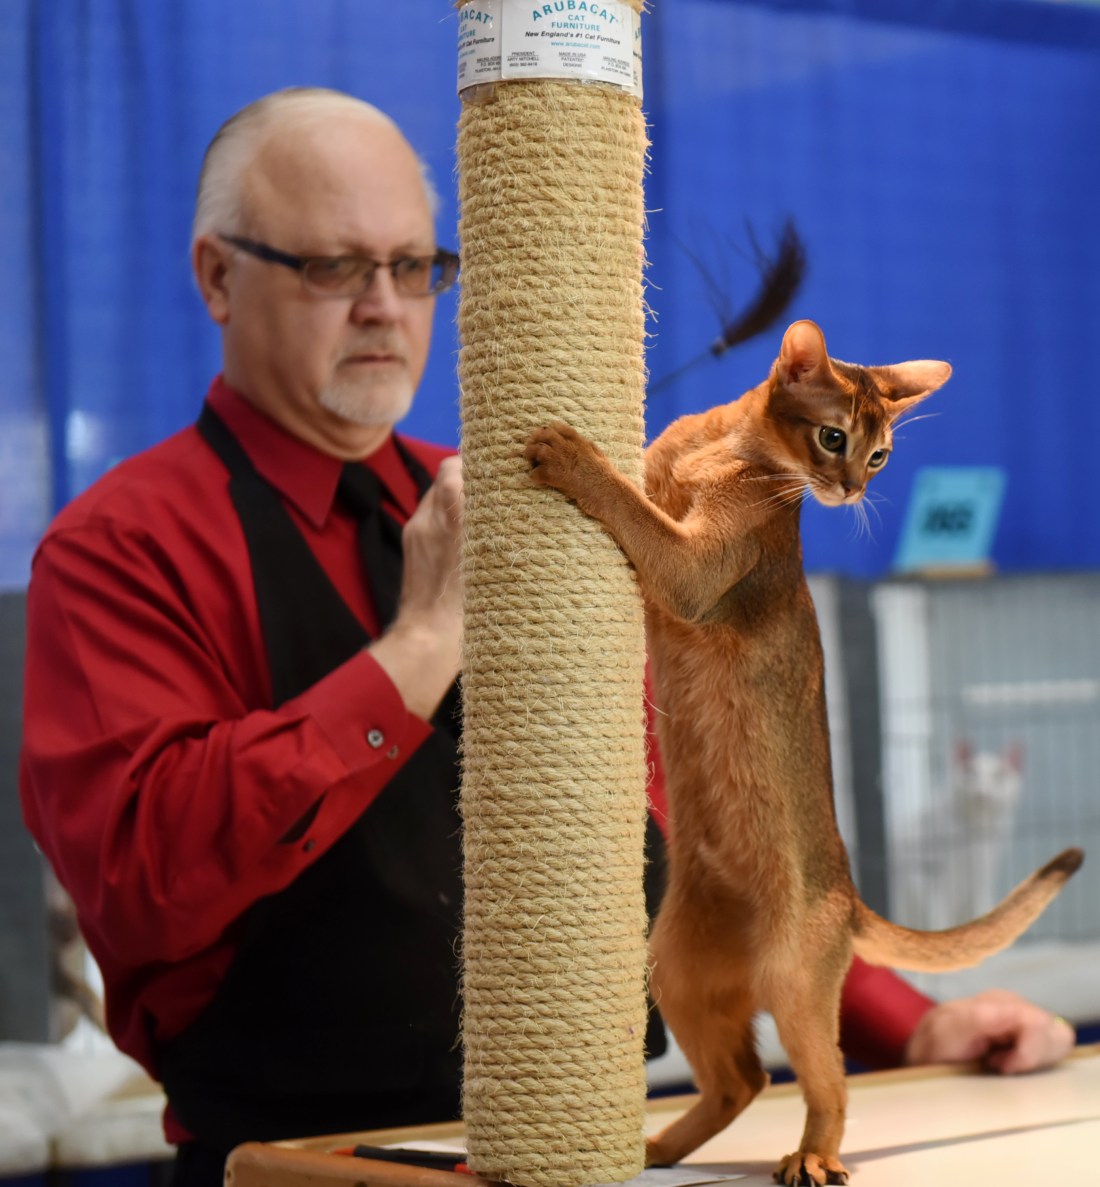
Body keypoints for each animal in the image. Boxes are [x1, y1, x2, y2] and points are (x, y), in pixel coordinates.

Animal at [523, 320, 1083, 1186]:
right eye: (833, 438)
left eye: (878, 455)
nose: (849, 490)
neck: (719, 444)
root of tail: (849, 896)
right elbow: (641, 486)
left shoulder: (691, 571)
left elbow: (631, 509)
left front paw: (571, 455)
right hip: (675, 969)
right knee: (743, 1078)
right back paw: (656, 1149)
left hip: (795, 985)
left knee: (828, 1080)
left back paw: (812, 1155)